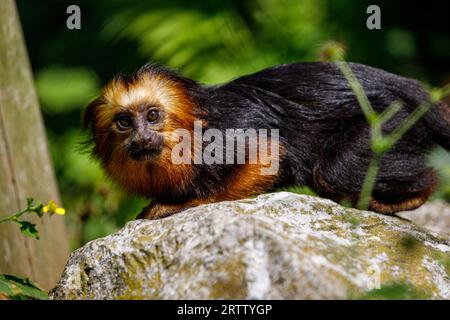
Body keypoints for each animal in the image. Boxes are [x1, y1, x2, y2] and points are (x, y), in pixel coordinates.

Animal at [84, 62, 450, 220]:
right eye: (124, 122)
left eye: (152, 116)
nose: (141, 137)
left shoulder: (230, 134)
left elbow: (270, 153)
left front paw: (189, 203)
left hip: (389, 118)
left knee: (334, 173)